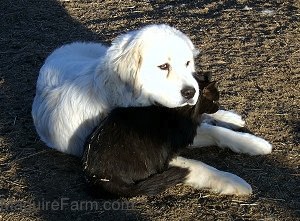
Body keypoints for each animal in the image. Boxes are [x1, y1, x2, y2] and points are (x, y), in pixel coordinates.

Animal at [32, 24, 272, 195]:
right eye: (163, 67)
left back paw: (230, 117)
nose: (191, 92)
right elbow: (198, 166)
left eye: (187, 63)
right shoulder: (157, 153)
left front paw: (253, 144)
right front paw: (233, 181)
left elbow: (216, 132)